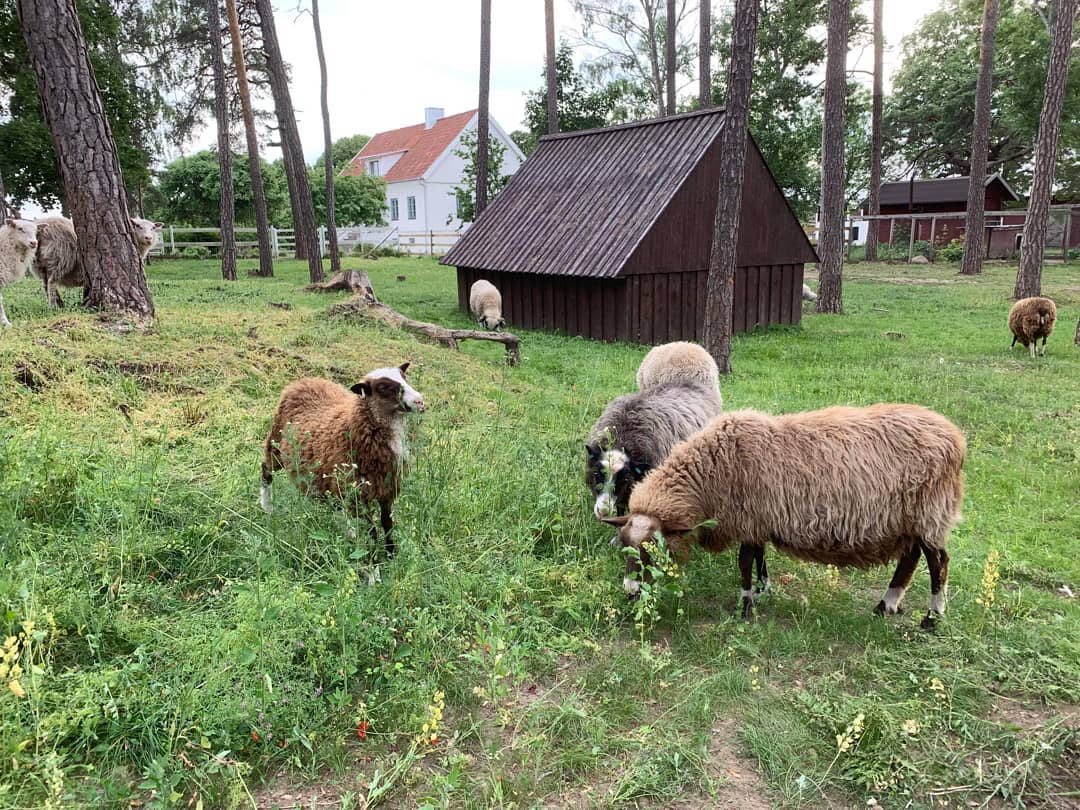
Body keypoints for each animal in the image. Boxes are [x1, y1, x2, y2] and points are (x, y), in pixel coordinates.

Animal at [260, 363, 425, 557]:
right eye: (383, 387)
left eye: (403, 377)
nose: (419, 402)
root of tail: (303, 381)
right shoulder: (358, 497)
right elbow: (371, 531)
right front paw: (373, 561)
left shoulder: (387, 491)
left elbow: (387, 524)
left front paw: (391, 554)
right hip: (276, 443)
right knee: (266, 469)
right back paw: (267, 506)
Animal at [602, 403, 965, 629]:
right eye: (624, 547)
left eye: (651, 550)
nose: (630, 591)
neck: (713, 471)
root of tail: (955, 438)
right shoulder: (759, 520)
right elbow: (760, 557)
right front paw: (763, 591)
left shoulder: (750, 518)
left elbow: (745, 562)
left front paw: (745, 605)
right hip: (910, 520)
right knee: (911, 558)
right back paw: (887, 605)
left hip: (931, 511)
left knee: (938, 563)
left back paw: (932, 618)